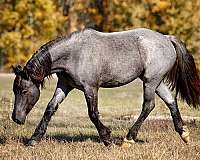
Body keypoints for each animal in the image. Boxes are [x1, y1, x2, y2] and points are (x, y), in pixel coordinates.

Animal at [12, 27, 200, 146]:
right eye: (15, 90)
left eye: (24, 90)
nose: (16, 118)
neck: (74, 54)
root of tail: (167, 38)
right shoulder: (65, 86)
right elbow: (50, 109)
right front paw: (34, 139)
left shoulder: (90, 88)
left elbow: (93, 114)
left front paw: (107, 139)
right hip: (156, 81)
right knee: (171, 101)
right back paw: (184, 134)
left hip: (150, 81)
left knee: (149, 105)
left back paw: (128, 139)